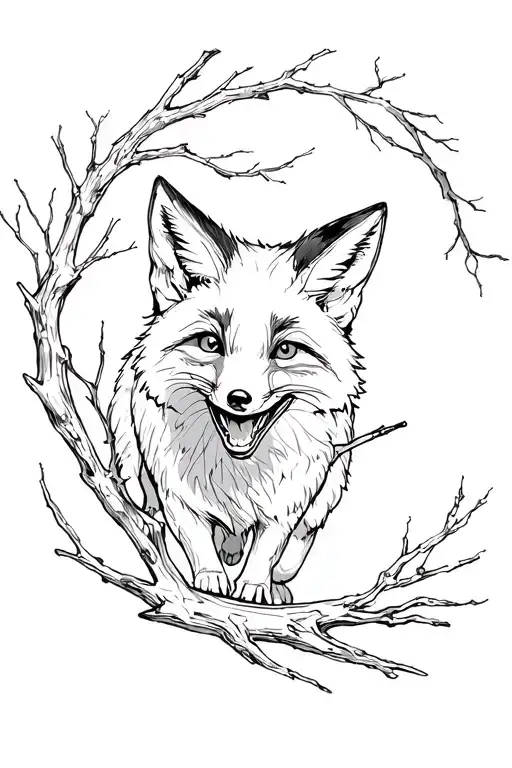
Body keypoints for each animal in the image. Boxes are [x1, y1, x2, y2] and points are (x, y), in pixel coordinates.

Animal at [109, 176, 387, 604]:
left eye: (285, 350)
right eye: (210, 343)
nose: (238, 399)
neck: (237, 475)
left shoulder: (289, 503)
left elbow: (268, 549)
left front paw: (254, 588)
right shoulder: (176, 494)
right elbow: (196, 540)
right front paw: (208, 581)